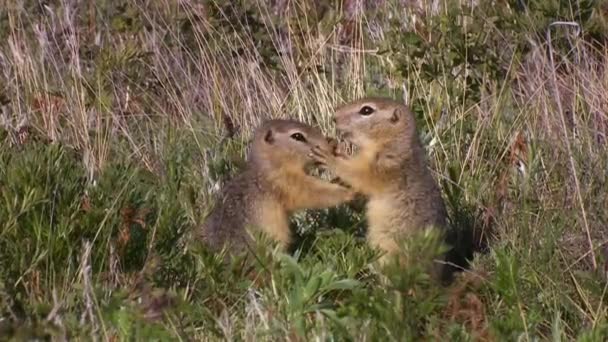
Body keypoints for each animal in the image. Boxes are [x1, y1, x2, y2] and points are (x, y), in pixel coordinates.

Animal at [201, 119, 352, 255]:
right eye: (297, 136)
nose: (332, 144)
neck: (270, 165)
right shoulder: (286, 182)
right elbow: (313, 191)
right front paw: (349, 190)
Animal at [312, 96, 448, 276]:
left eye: (366, 110)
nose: (334, 117)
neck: (391, 142)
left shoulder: (383, 167)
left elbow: (356, 174)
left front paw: (328, 157)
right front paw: (335, 150)